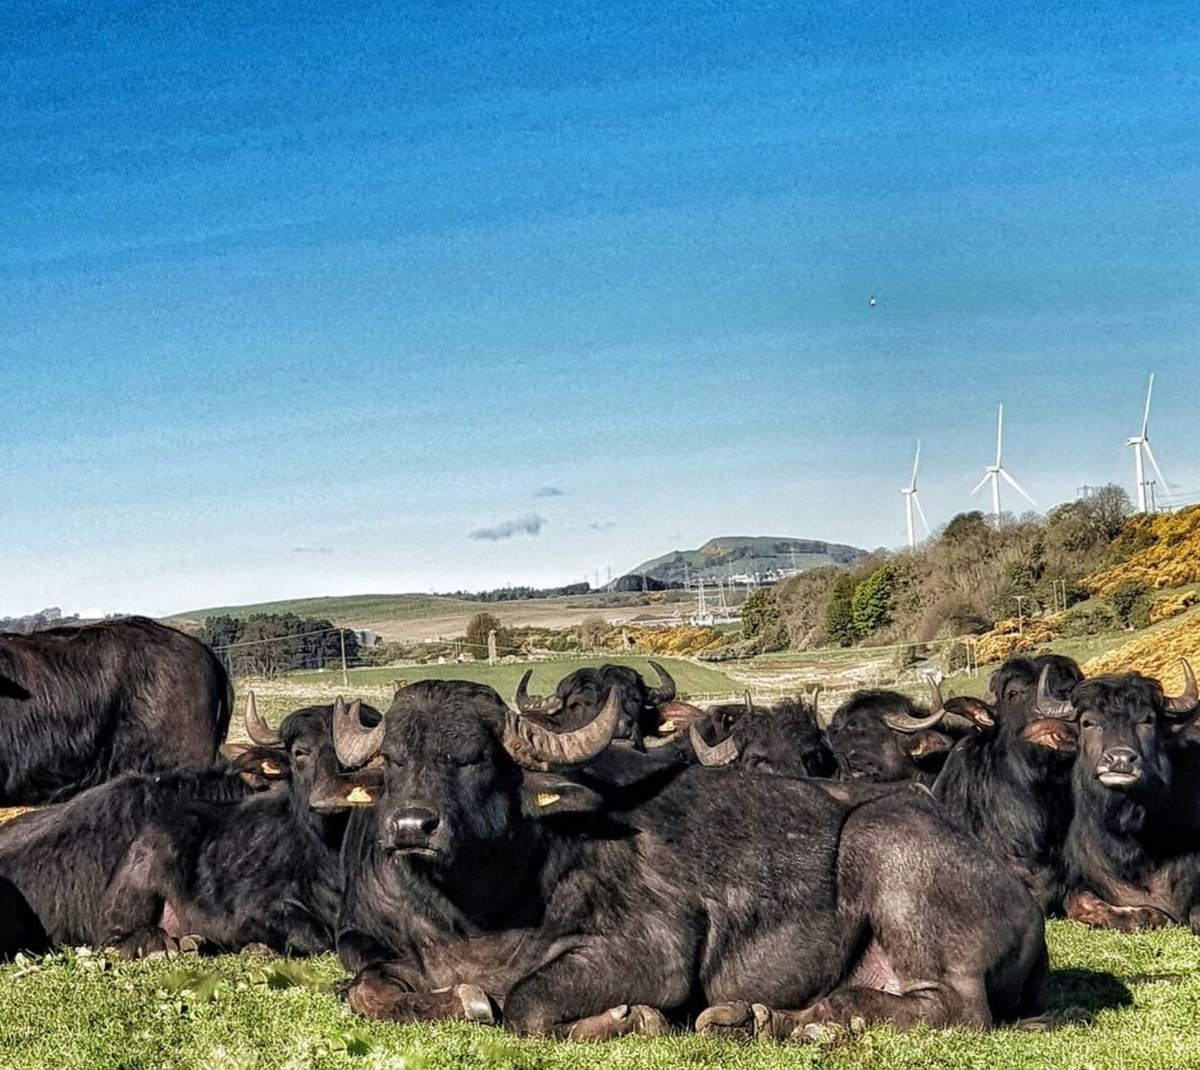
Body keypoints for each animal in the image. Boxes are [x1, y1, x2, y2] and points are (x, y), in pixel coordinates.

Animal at [334, 679, 1046, 1039]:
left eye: (475, 758)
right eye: (393, 758)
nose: (412, 826)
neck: (474, 911)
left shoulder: (656, 952)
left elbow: (525, 1006)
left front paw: (629, 1017)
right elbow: (363, 990)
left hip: (885, 842)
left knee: (956, 1010)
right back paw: (757, 1017)